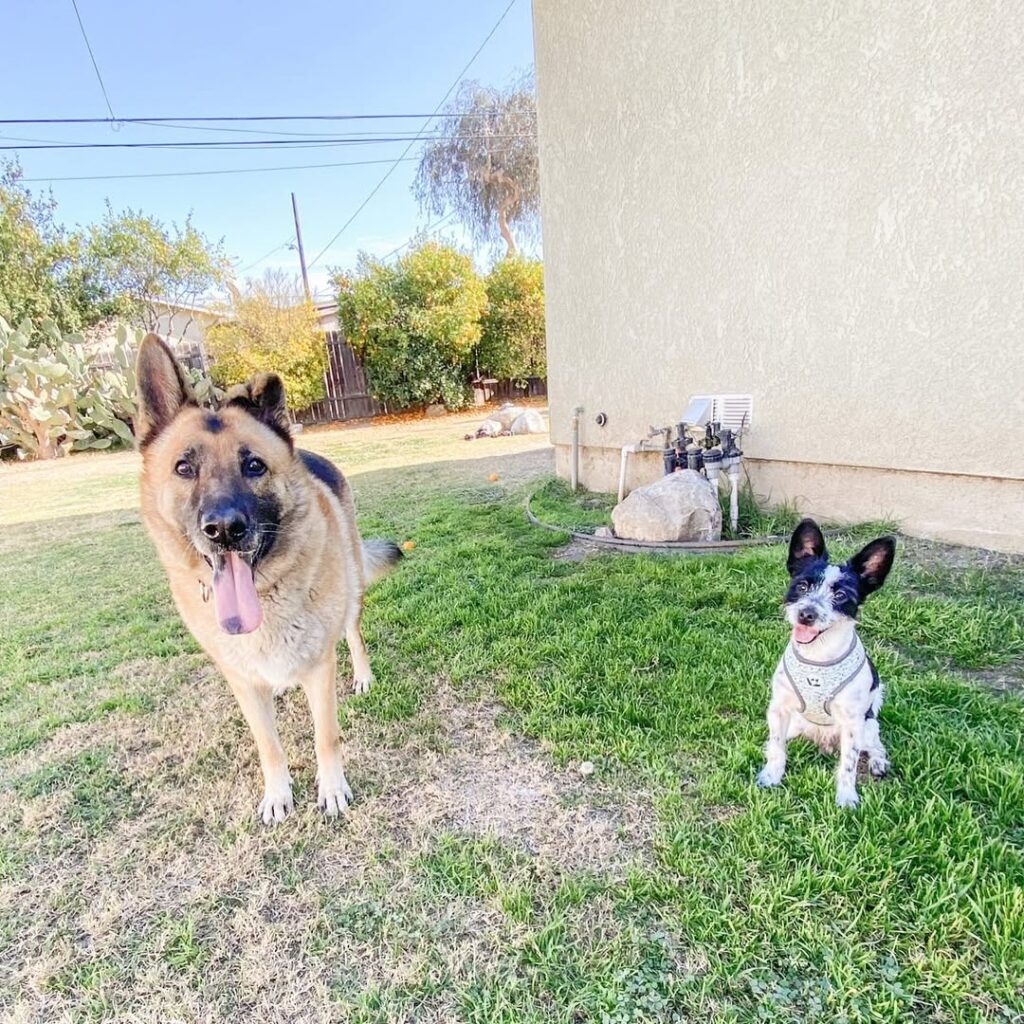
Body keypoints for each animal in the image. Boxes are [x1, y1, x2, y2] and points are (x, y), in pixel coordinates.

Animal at [129, 335, 399, 823]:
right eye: (183, 468)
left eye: (254, 466)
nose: (223, 529)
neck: (265, 598)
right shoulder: (243, 683)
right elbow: (268, 746)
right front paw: (277, 794)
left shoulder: (319, 668)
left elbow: (325, 736)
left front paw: (332, 790)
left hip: (350, 589)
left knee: (353, 631)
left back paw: (363, 676)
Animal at [757, 520, 892, 806]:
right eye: (802, 586)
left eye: (840, 595)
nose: (806, 614)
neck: (817, 658)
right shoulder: (779, 709)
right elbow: (777, 747)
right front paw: (771, 775)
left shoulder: (852, 723)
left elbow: (849, 765)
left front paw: (847, 797)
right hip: (796, 723)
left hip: (867, 727)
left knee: (876, 745)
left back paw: (878, 762)